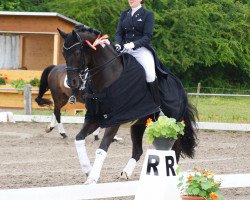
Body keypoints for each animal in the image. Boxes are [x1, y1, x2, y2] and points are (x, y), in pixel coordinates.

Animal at [58, 26, 197, 184]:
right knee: (138, 151)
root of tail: (181, 88)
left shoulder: (114, 121)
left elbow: (102, 148)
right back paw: (125, 172)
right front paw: (88, 170)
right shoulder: (94, 118)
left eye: (77, 52)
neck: (107, 78)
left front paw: (92, 178)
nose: (72, 83)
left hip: (174, 125)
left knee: (175, 148)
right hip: (138, 125)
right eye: (63, 53)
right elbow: (78, 139)